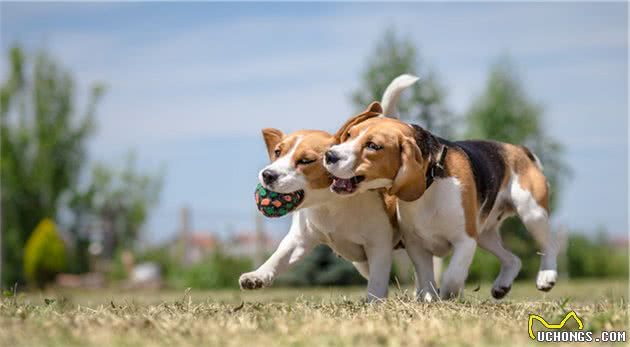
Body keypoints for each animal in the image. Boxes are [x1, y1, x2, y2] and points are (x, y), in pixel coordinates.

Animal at [239, 74, 422, 302]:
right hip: (361, 263)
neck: (330, 204)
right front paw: (257, 275)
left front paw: (374, 302)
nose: (268, 174)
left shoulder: (378, 245)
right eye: (277, 152)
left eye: (306, 160)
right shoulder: (299, 239)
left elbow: (378, 281)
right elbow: (279, 256)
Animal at [326, 104, 556, 302]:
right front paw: (428, 299)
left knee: (550, 243)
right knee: (513, 259)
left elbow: (452, 277)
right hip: (485, 234)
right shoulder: (416, 245)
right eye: (349, 135)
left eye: (374, 146)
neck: (432, 182)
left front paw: (447, 296)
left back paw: (547, 276)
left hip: (531, 213)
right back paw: (502, 285)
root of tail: (519, 149)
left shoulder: (465, 240)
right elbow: (426, 276)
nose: (330, 155)